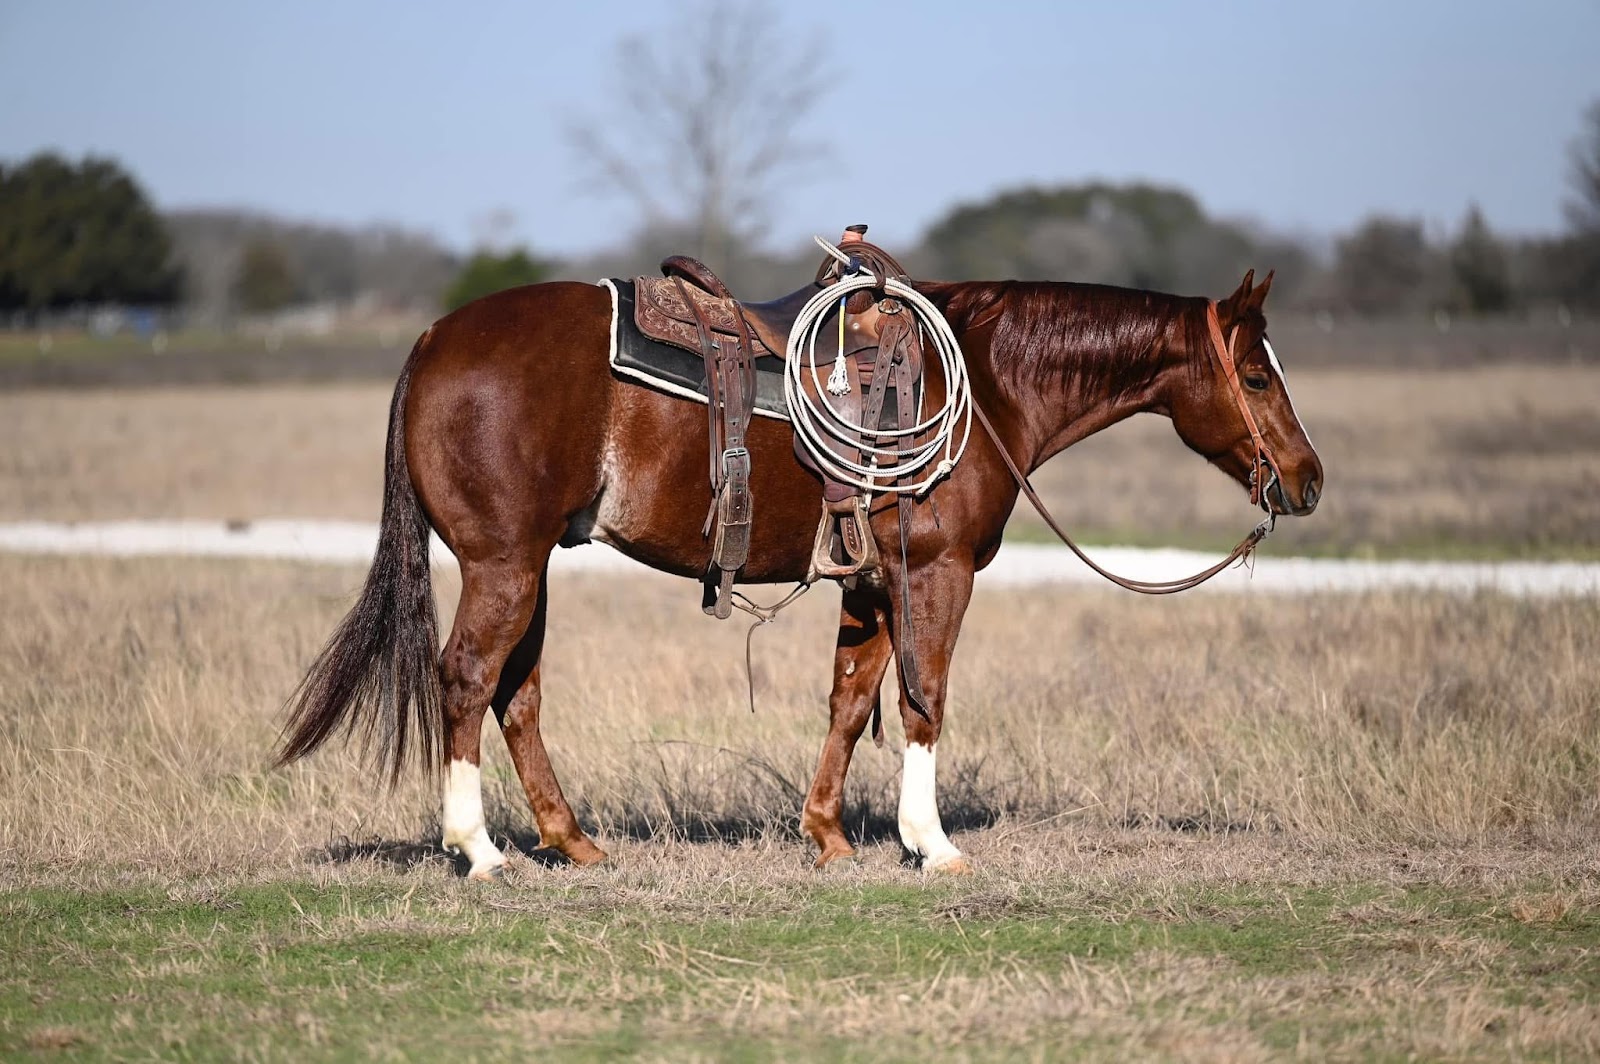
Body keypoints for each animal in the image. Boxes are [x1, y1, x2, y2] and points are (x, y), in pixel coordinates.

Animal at [276, 267, 1322, 878]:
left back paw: (572, 842)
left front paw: (827, 834)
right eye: (1256, 376)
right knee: (466, 680)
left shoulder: (871, 582)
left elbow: (852, 701)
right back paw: (481, 851)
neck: (982, 380)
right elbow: (924, 699)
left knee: (514, 694)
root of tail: (432, 339)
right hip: (504, 563)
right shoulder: (936, 573)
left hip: (528, 566)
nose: (1308, 480)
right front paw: (931, 843)